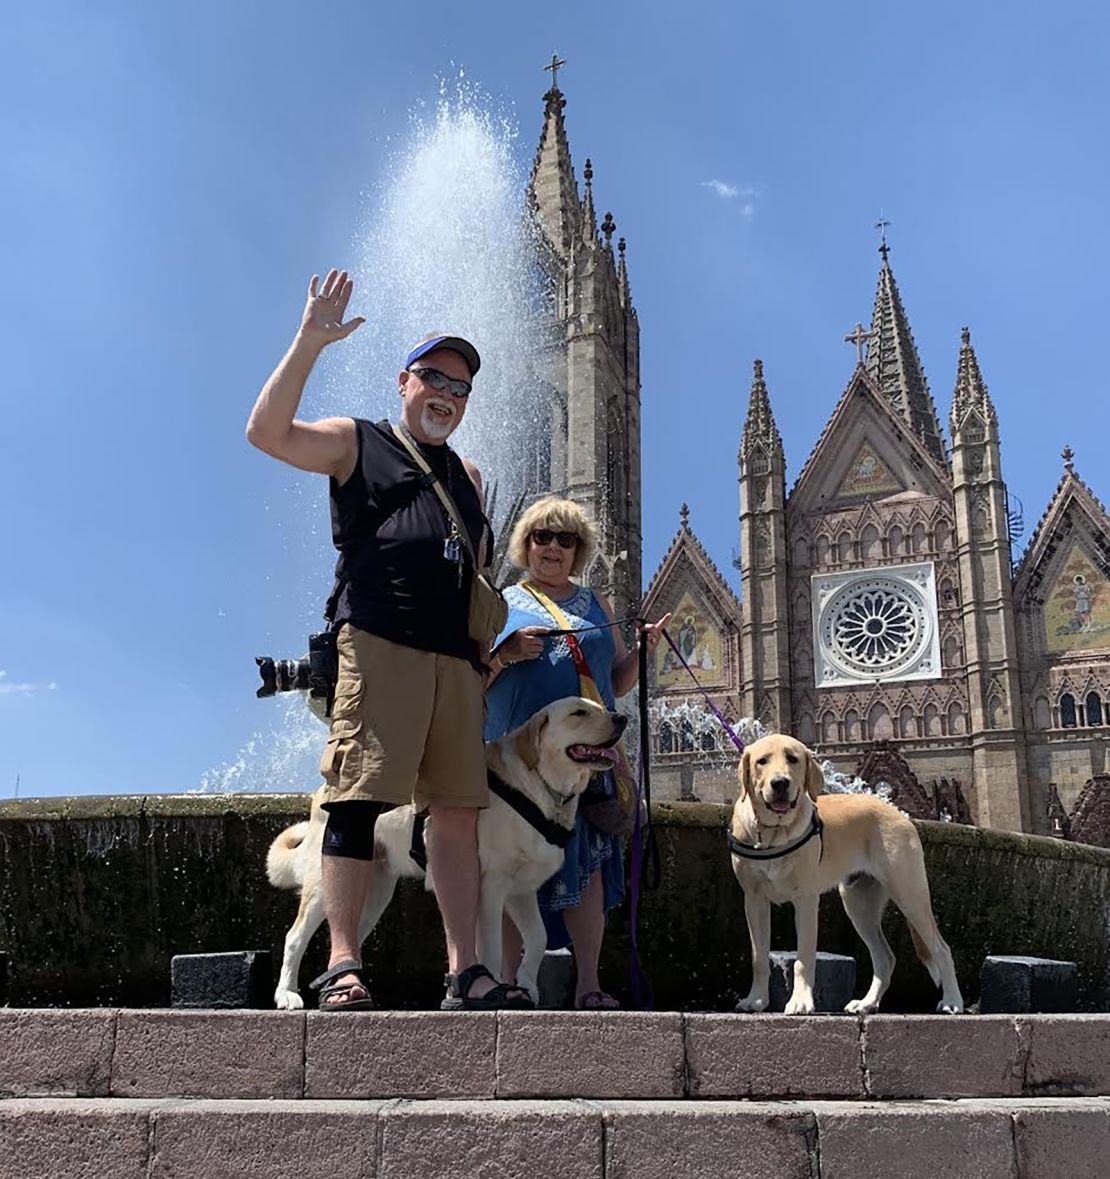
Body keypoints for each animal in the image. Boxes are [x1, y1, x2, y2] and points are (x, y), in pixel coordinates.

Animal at [260, 693, 622, 1009]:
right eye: (578, 713)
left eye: (598, 706)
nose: (622, 718)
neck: (541, 789)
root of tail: (323, 788)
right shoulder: (490, 888)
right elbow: (490, 947)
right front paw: (493, 990)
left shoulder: (521, 891)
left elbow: (538, 938)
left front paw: (527, 986)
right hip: (324, 883)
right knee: (294, 937)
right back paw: (287, 995)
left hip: (375, 891)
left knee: (349, 935)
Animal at [726, 730, 962, 1018]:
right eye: (762, 761)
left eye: (793, 758)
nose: (780, 783)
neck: (773, 833)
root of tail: (898, 813)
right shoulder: (754, 900)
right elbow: (759, 956)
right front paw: (757, 1000)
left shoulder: (806, 900)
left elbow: (803, 958)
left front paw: (800, 1002)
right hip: (859, 905)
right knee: (885, 958)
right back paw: (867, 1003)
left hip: (910, 895)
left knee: (941, 948)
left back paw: (953, 1000)